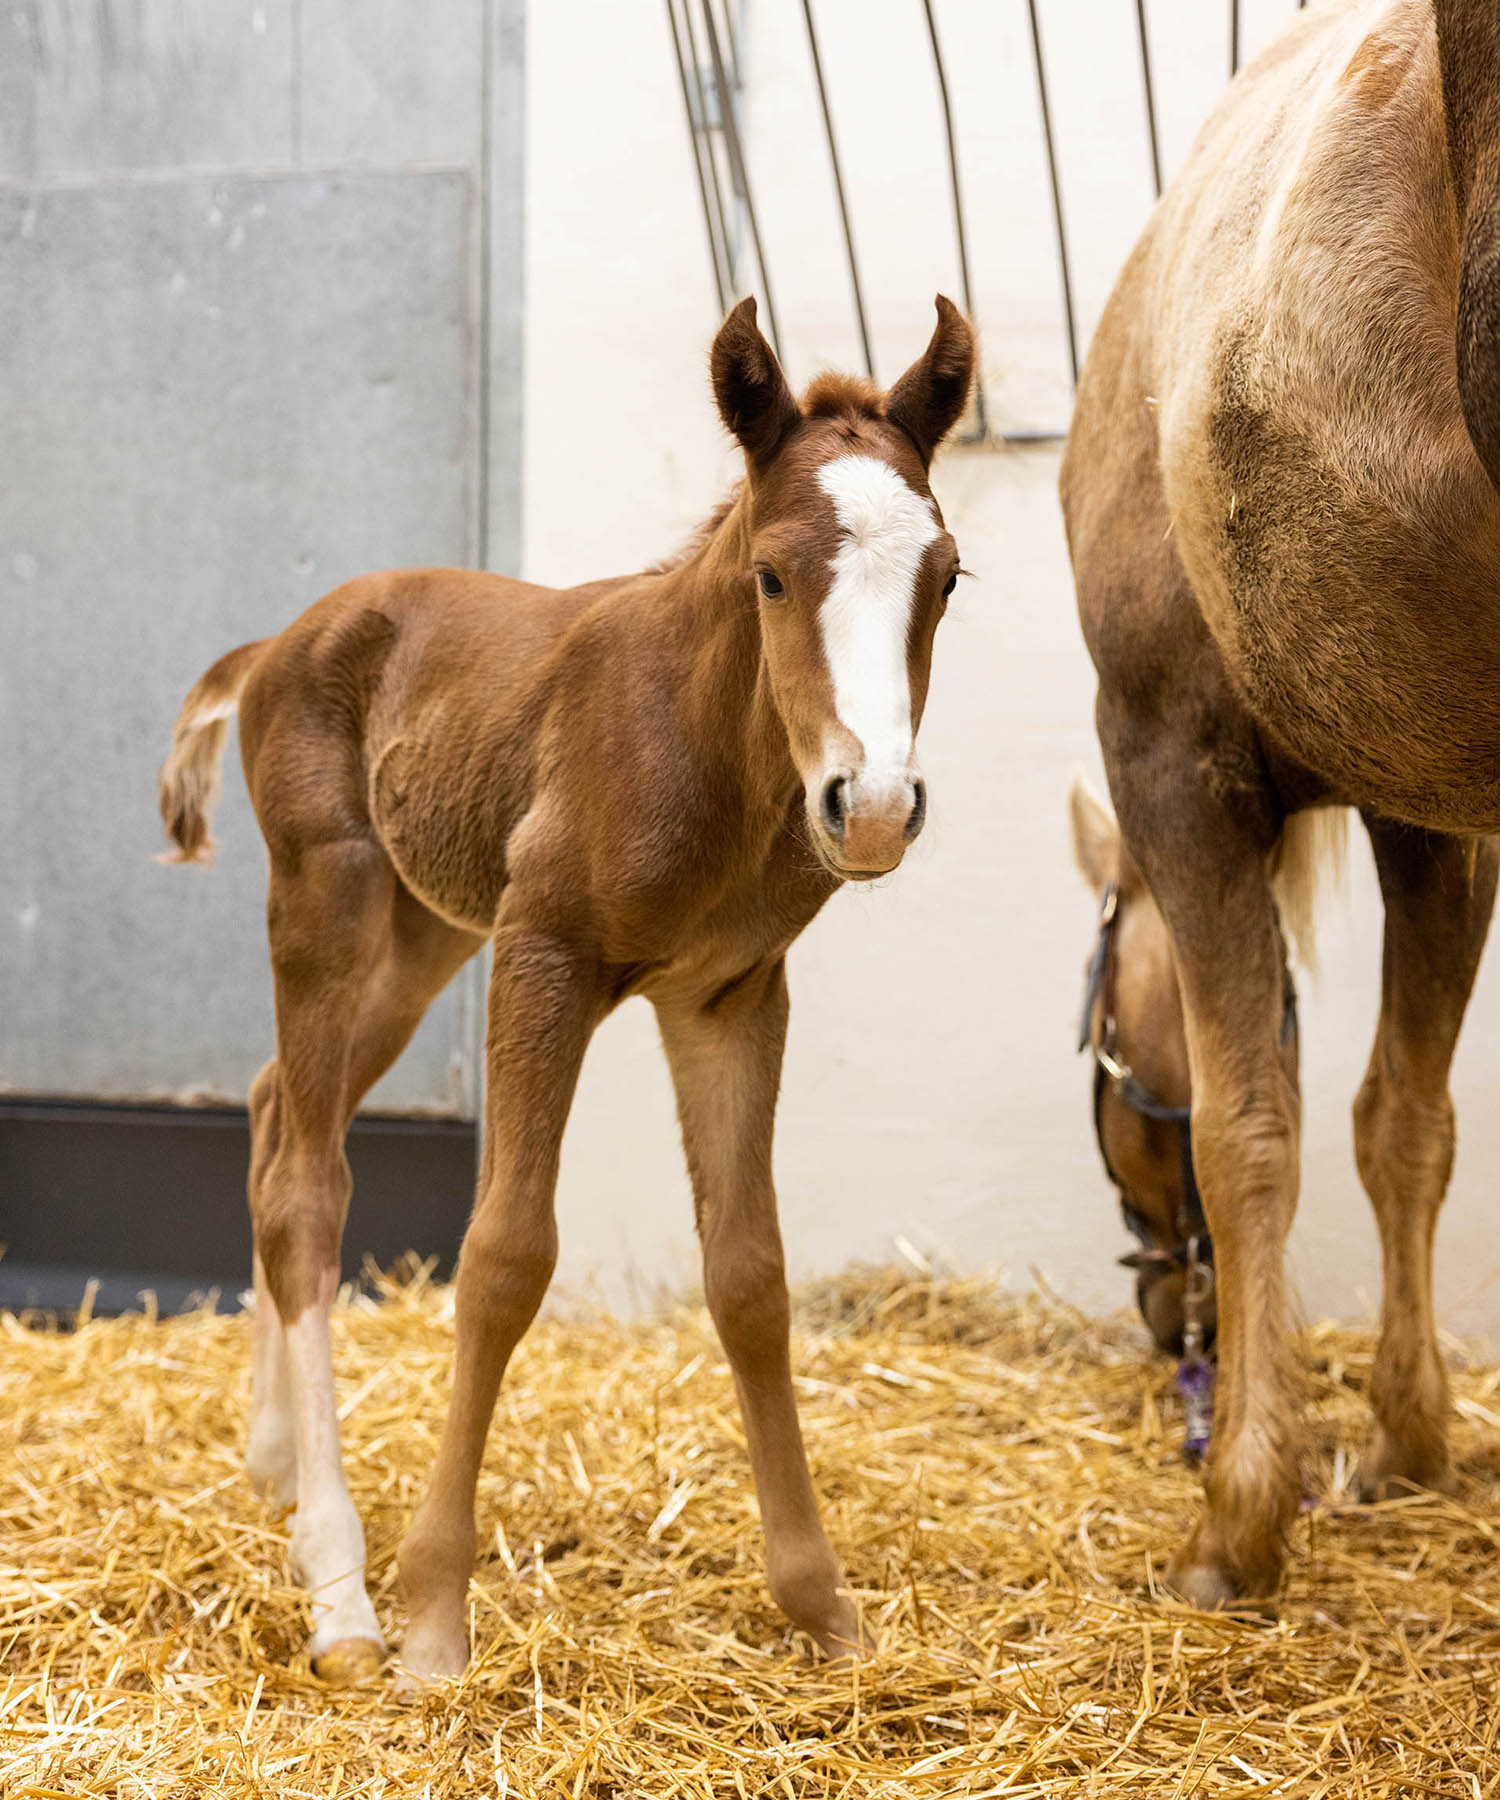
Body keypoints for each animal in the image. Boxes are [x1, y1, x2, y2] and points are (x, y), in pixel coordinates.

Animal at [161, 298, 972, 1684]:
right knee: (305, 1184)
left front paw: (824, 1610)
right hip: (327, 902)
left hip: (424, 938)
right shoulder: (544, 956)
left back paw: (274, 1469)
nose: (868, 807)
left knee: (273, 1109)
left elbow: (750, 1274)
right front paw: (435, 1616)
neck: (699, 740)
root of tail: (275, 647)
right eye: (771, 574)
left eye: (948, 577)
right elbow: (502, 1255)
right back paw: (340, 1592)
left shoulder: (730, 996)